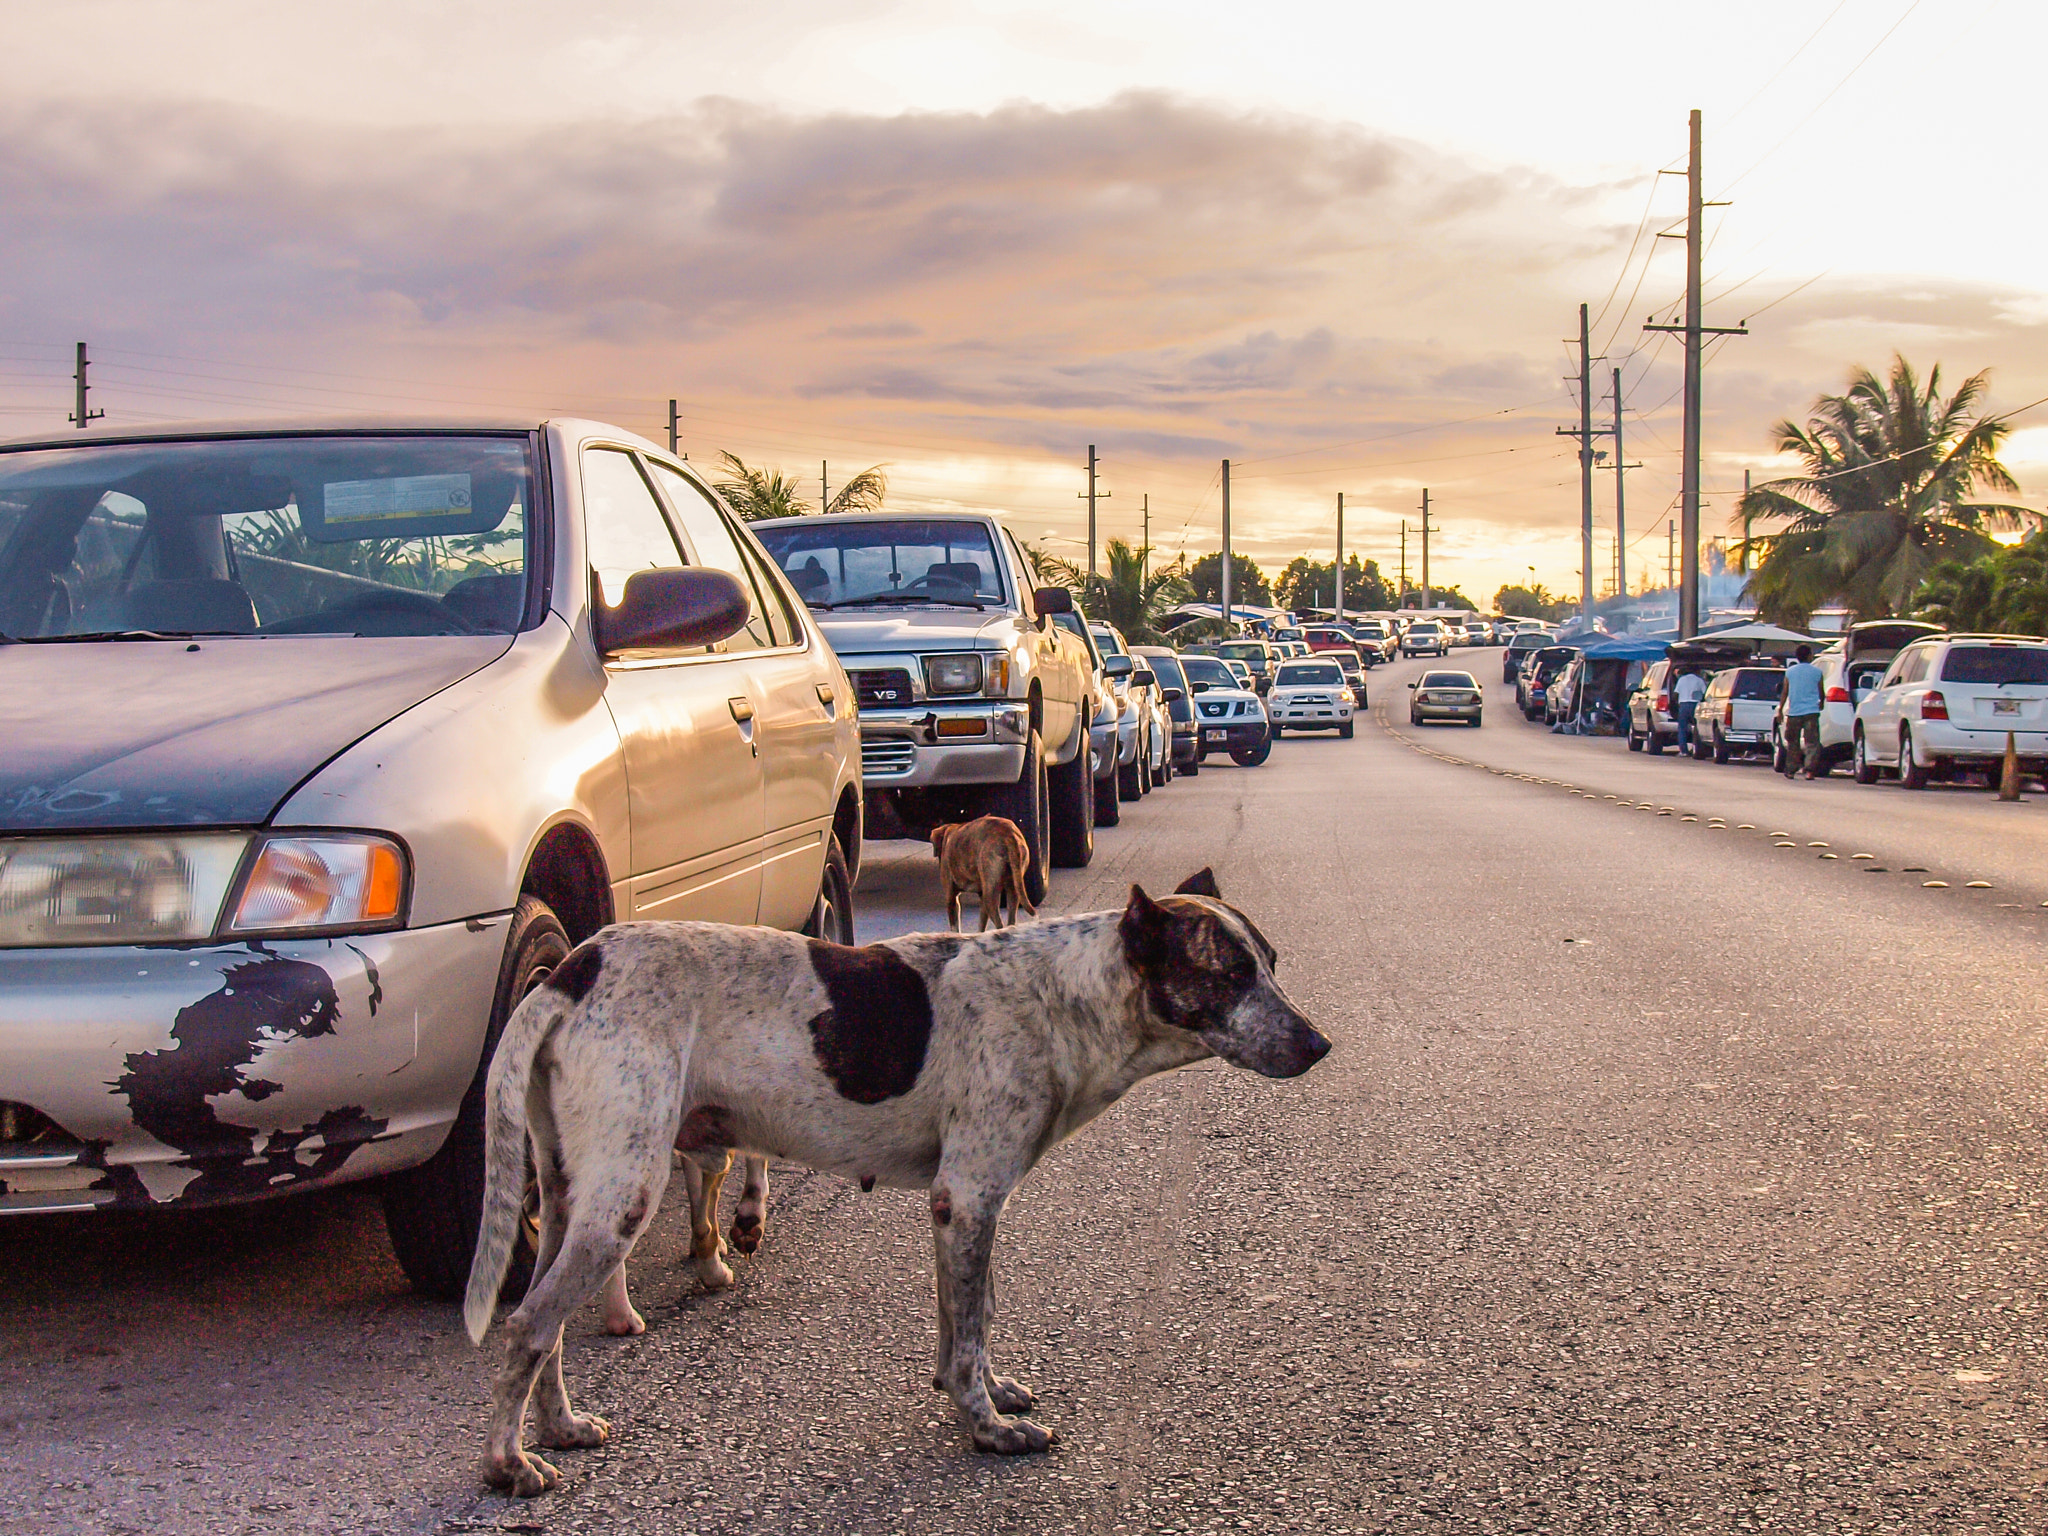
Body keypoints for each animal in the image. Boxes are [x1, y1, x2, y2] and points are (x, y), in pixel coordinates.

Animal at [462, 872, 1327, 1499]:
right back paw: (507, 1466)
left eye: (1275, 964)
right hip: (623, 1197)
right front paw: (987, 1429)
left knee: (547, 1331)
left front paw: (983, 1392)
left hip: (568, 1196)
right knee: (525, 1327)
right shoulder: (969, 1198)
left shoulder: (965, 1208)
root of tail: (572, 971)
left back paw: (560, 1426)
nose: (1320, 1045)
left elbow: (970, 1322)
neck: (1063, 998)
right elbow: (970, 1330)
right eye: (1231, 973)